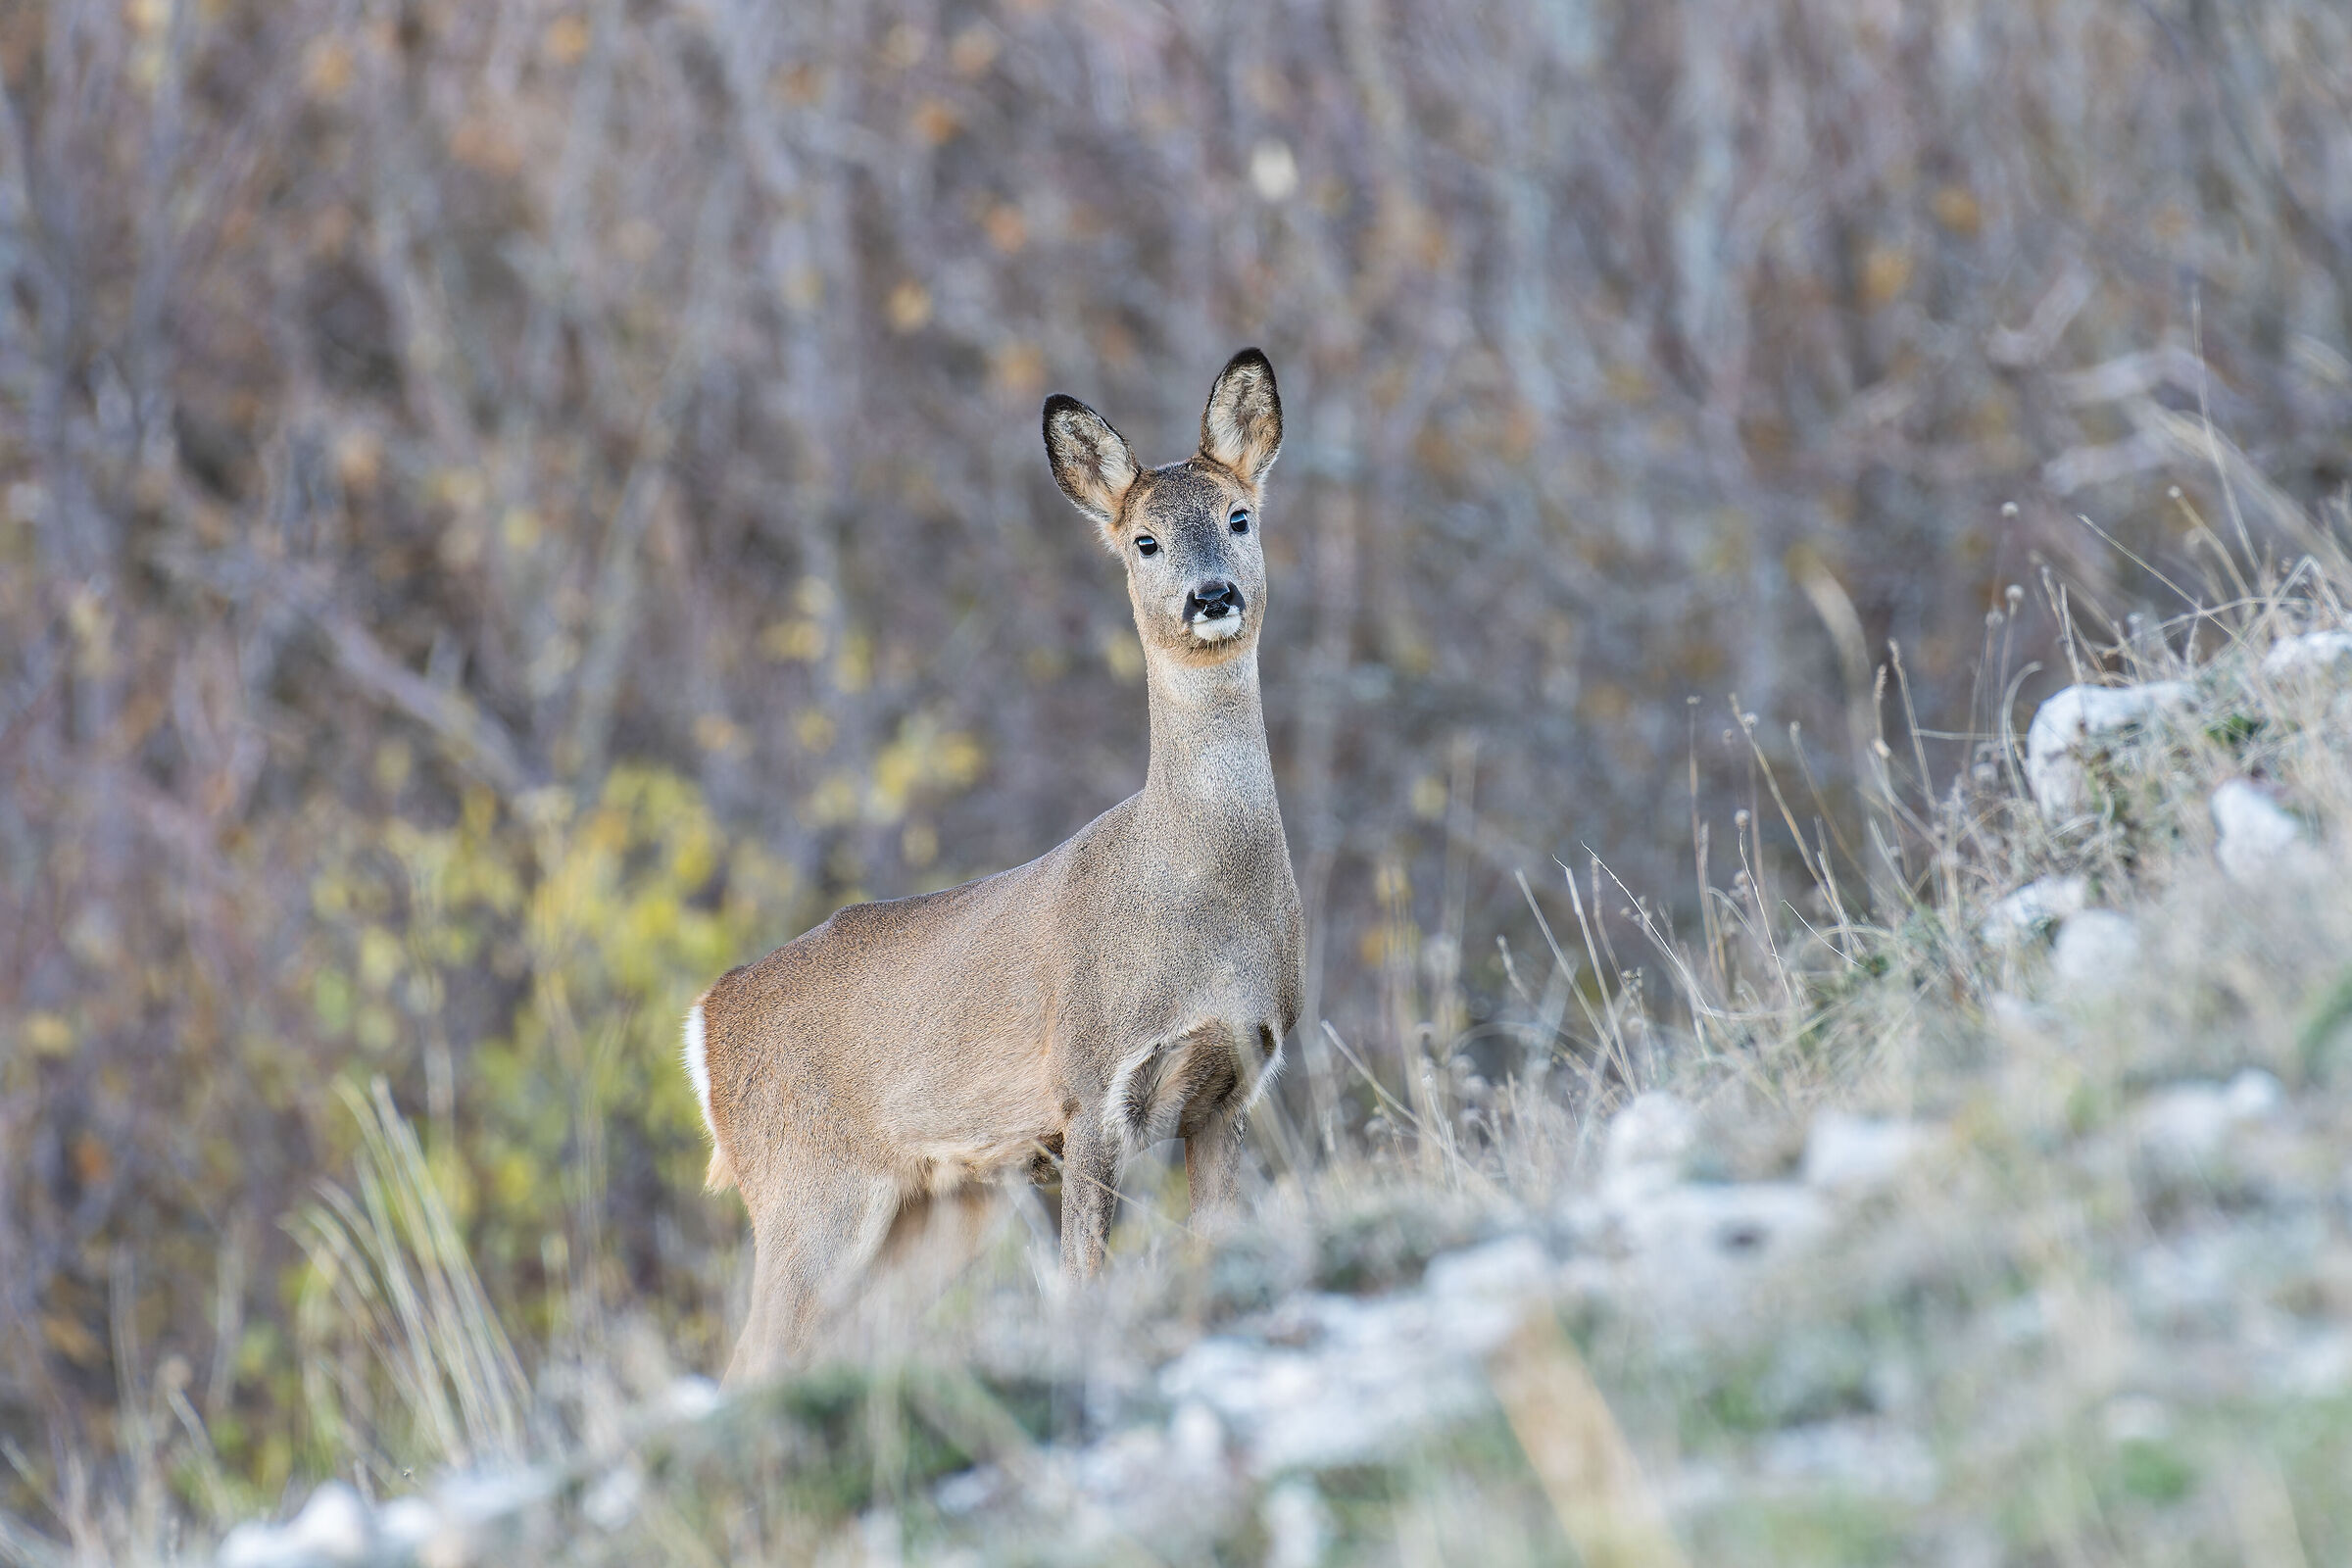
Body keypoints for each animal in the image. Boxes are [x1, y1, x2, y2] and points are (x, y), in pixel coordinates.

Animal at [684, 349, 1304, 1383]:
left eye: (1239, 518)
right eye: (1143, 541)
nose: (1211, 595)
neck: (1200, 896)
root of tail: (706, 1022)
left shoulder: (1229, 1087)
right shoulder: (1090, 1087)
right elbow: (1085, 1277)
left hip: (936, 1207)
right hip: (807, 1190)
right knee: (753, 1361)